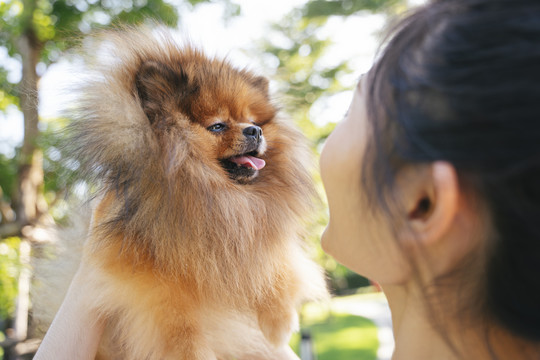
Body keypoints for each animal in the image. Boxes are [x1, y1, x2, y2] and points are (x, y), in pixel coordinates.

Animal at [38, 26, 326, 358]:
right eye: (217, 126)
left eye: (253, 122)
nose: (255, 131)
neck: (210, 191)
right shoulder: (149, 281)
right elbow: (179, 326)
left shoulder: (257, 234)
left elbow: (278, 265)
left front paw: (279, 321)